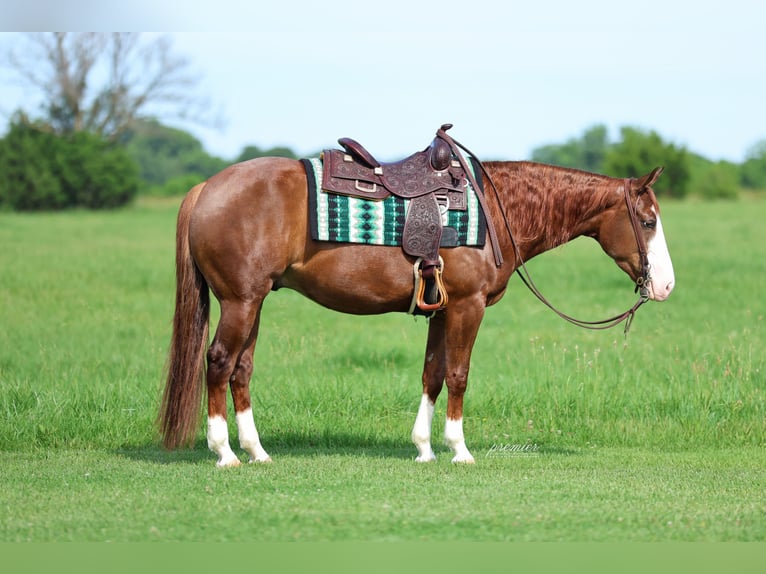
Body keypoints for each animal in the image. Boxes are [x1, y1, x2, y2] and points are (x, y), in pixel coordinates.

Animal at [158, 145, 675, 466]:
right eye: (648, 221)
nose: (666, 286)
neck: (496, 209)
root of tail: (205, 188)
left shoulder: (441, 310)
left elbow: (432, 374)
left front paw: (424, 448)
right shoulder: (468, 306)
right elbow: (459, 374)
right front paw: (459, 449)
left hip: (255, 301)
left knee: (241, 368)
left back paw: (256, 451)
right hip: (240, 302)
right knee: (219, 362)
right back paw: (224, 453)